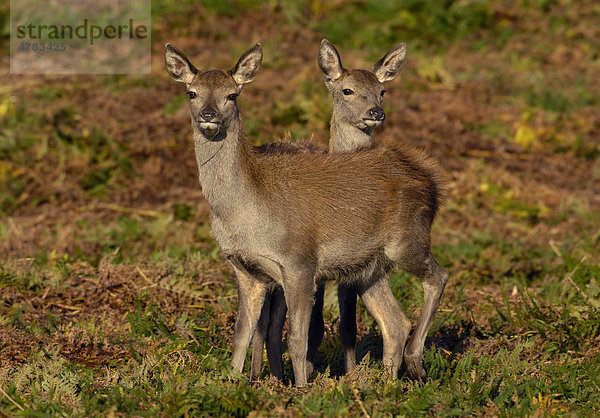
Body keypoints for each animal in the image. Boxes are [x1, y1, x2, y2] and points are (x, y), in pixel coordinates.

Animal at [166, 41, 448, 386]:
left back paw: (415, 363)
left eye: (232, 95)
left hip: (409, 238)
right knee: (395, 322)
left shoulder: (300, 262)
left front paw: (300, 389)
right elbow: (241, 334)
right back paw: (384, 383)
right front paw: (235, 383)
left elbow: (298, 338)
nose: (209, 115)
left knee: (438, 276)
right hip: (369, 267)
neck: (246, 210)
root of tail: (431, 179)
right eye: (191, 93)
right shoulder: (245, 270)